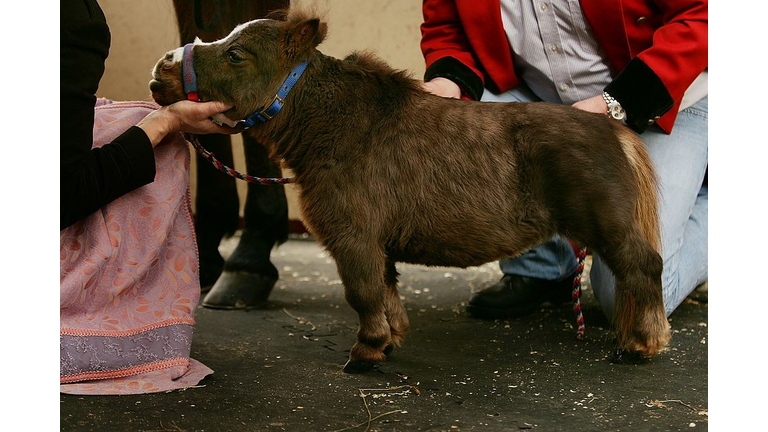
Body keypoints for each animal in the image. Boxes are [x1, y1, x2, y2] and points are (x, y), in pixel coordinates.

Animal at [147, 11, 668, 372]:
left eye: (236, 54)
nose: (162, 69)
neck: (335, 127)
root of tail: (615, 130)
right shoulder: (377, 245)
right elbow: (385, 291)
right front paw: (390, 339)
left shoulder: (353, 238)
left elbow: (362, 293)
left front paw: (366, 352)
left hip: (610, 230)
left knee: (644, 270)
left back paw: (642, 344)